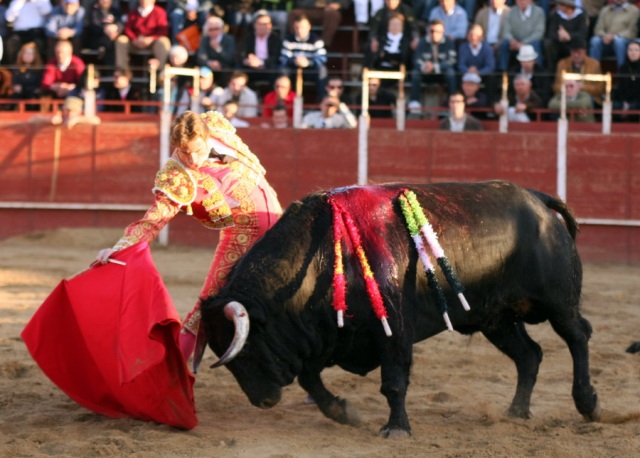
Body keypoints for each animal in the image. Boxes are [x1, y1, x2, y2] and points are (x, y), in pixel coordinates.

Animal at [199, 181, 600, 438]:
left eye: (248, 350)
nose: (262, 400)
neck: (323, 256)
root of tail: (538, 199)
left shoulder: (393, 328)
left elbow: (393, 381)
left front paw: (396, 429)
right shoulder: (326, 335)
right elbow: (310, 378)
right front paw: (343, 413)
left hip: (558, 302)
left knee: (577, 336)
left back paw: (588, 404)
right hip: (495, 318)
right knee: (529, 355)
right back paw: (516, 412)